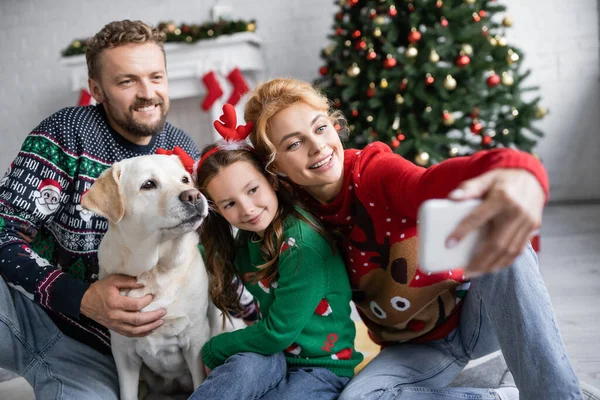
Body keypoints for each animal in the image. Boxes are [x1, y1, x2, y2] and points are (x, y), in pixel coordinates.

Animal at [82, 154, 217, 400]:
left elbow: (199, 382)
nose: (193, 195)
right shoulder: (123, 351)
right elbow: (127, 393)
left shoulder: (196, 339)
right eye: (148, 184)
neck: (154, 270)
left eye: (185, 179)